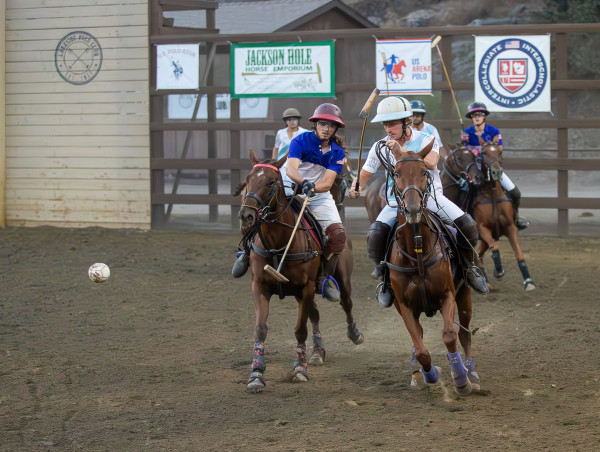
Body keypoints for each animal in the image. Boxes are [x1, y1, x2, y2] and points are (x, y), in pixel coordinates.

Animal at [238, 149, 360, 392]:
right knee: (315, 314)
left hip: (340, 280)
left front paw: (299, 369)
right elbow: (260, 328)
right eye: (248, 179)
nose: (246, 215)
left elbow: (300, 329)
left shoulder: (306, 287)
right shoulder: (260, 287)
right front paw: (256, 373)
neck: (279, 243)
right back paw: (318, 352)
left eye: (271, 182)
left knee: (346, 302)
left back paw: (354, 333)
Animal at [472, 143, 536, 292]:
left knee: (478, 256)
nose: (497, 172)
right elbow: (495, 246)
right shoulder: (482, 228)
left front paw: (528, 282)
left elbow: (519, 253)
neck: (492, 195)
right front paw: (499, 271)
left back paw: (486, 282)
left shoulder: (510, 227)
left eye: (500, 152)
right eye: (484, 153)